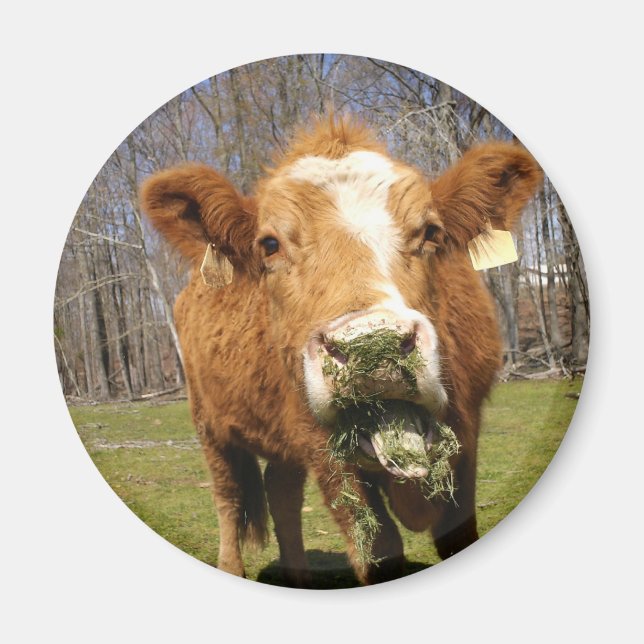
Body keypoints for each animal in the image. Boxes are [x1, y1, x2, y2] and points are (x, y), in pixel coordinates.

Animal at [140, 115, 542, 587]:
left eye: (431, 232)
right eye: (269, 244)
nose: (374, 348)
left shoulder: (468, 431)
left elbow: (457, 535)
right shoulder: (323, 449)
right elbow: (379, 546)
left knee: (281, 491)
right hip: (209, 422)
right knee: (228, 496)